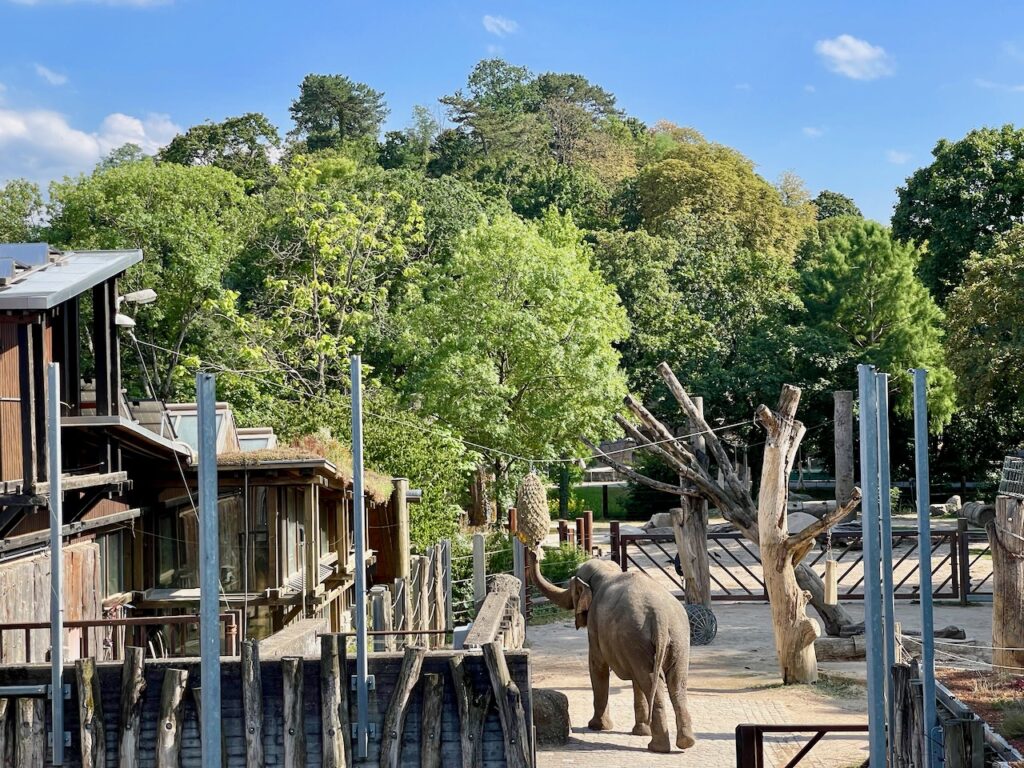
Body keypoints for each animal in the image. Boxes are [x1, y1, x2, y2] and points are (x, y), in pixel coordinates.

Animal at [528, 548, 696, 753]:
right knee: (676, 682)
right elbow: (635, 681)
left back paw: (657, 747)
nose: (533, 551)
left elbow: (597, 666)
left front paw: (597, 726)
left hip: (640, 636)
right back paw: (685, 742)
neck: (606, 571)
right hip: (677, 638)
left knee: (651, 682)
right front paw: (640, 731)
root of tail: (660, 616)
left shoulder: (595, 625)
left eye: (572, 589)